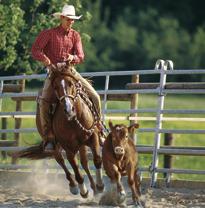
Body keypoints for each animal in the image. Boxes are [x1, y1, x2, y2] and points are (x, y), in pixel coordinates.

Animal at [15, 66, 104, 197]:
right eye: (55, 87)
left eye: (71, 83)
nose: (68, 109)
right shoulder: (68, 148)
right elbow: (76, 171)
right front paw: (83, 191)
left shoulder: (93, 137)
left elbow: (97, 160)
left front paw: (100, 186)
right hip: (54, 145)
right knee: (61, 161)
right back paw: (73, 186)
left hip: (82, 145)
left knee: (84, 163)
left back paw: (95, 188)